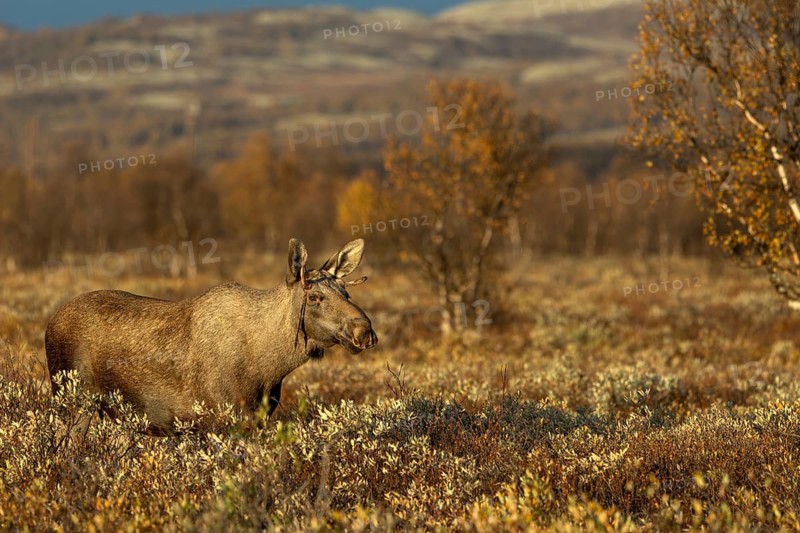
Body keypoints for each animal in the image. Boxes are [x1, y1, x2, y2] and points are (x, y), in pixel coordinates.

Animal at [44, 238, 378, 433]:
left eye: (346, 291)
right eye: (315, 297)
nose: (365, 331)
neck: (270, 366)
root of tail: (50, 323)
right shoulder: (222, 417)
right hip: (72, 403)